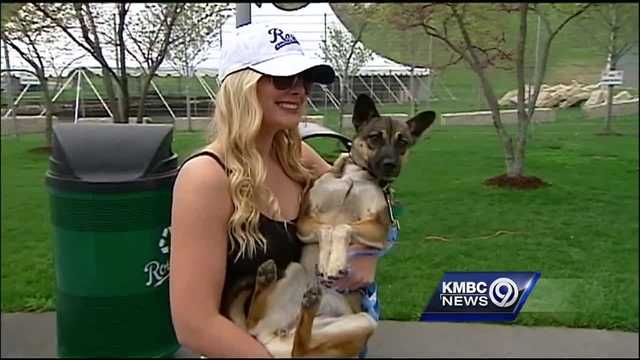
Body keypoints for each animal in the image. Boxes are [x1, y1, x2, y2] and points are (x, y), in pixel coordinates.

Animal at [219, 95, 436, 358]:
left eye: (403, 142)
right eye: (375, 137)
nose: (390, 165)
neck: (355, 176)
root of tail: (275, 339)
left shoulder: (379, 229)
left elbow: (341, 228)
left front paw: (334, 263)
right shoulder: (305, 221)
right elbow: (327, 229)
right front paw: (326, 261)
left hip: (363, 321)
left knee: (300, 349)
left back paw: (299, 297)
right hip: (295, 271)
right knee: (261, 326)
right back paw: (270, 280)